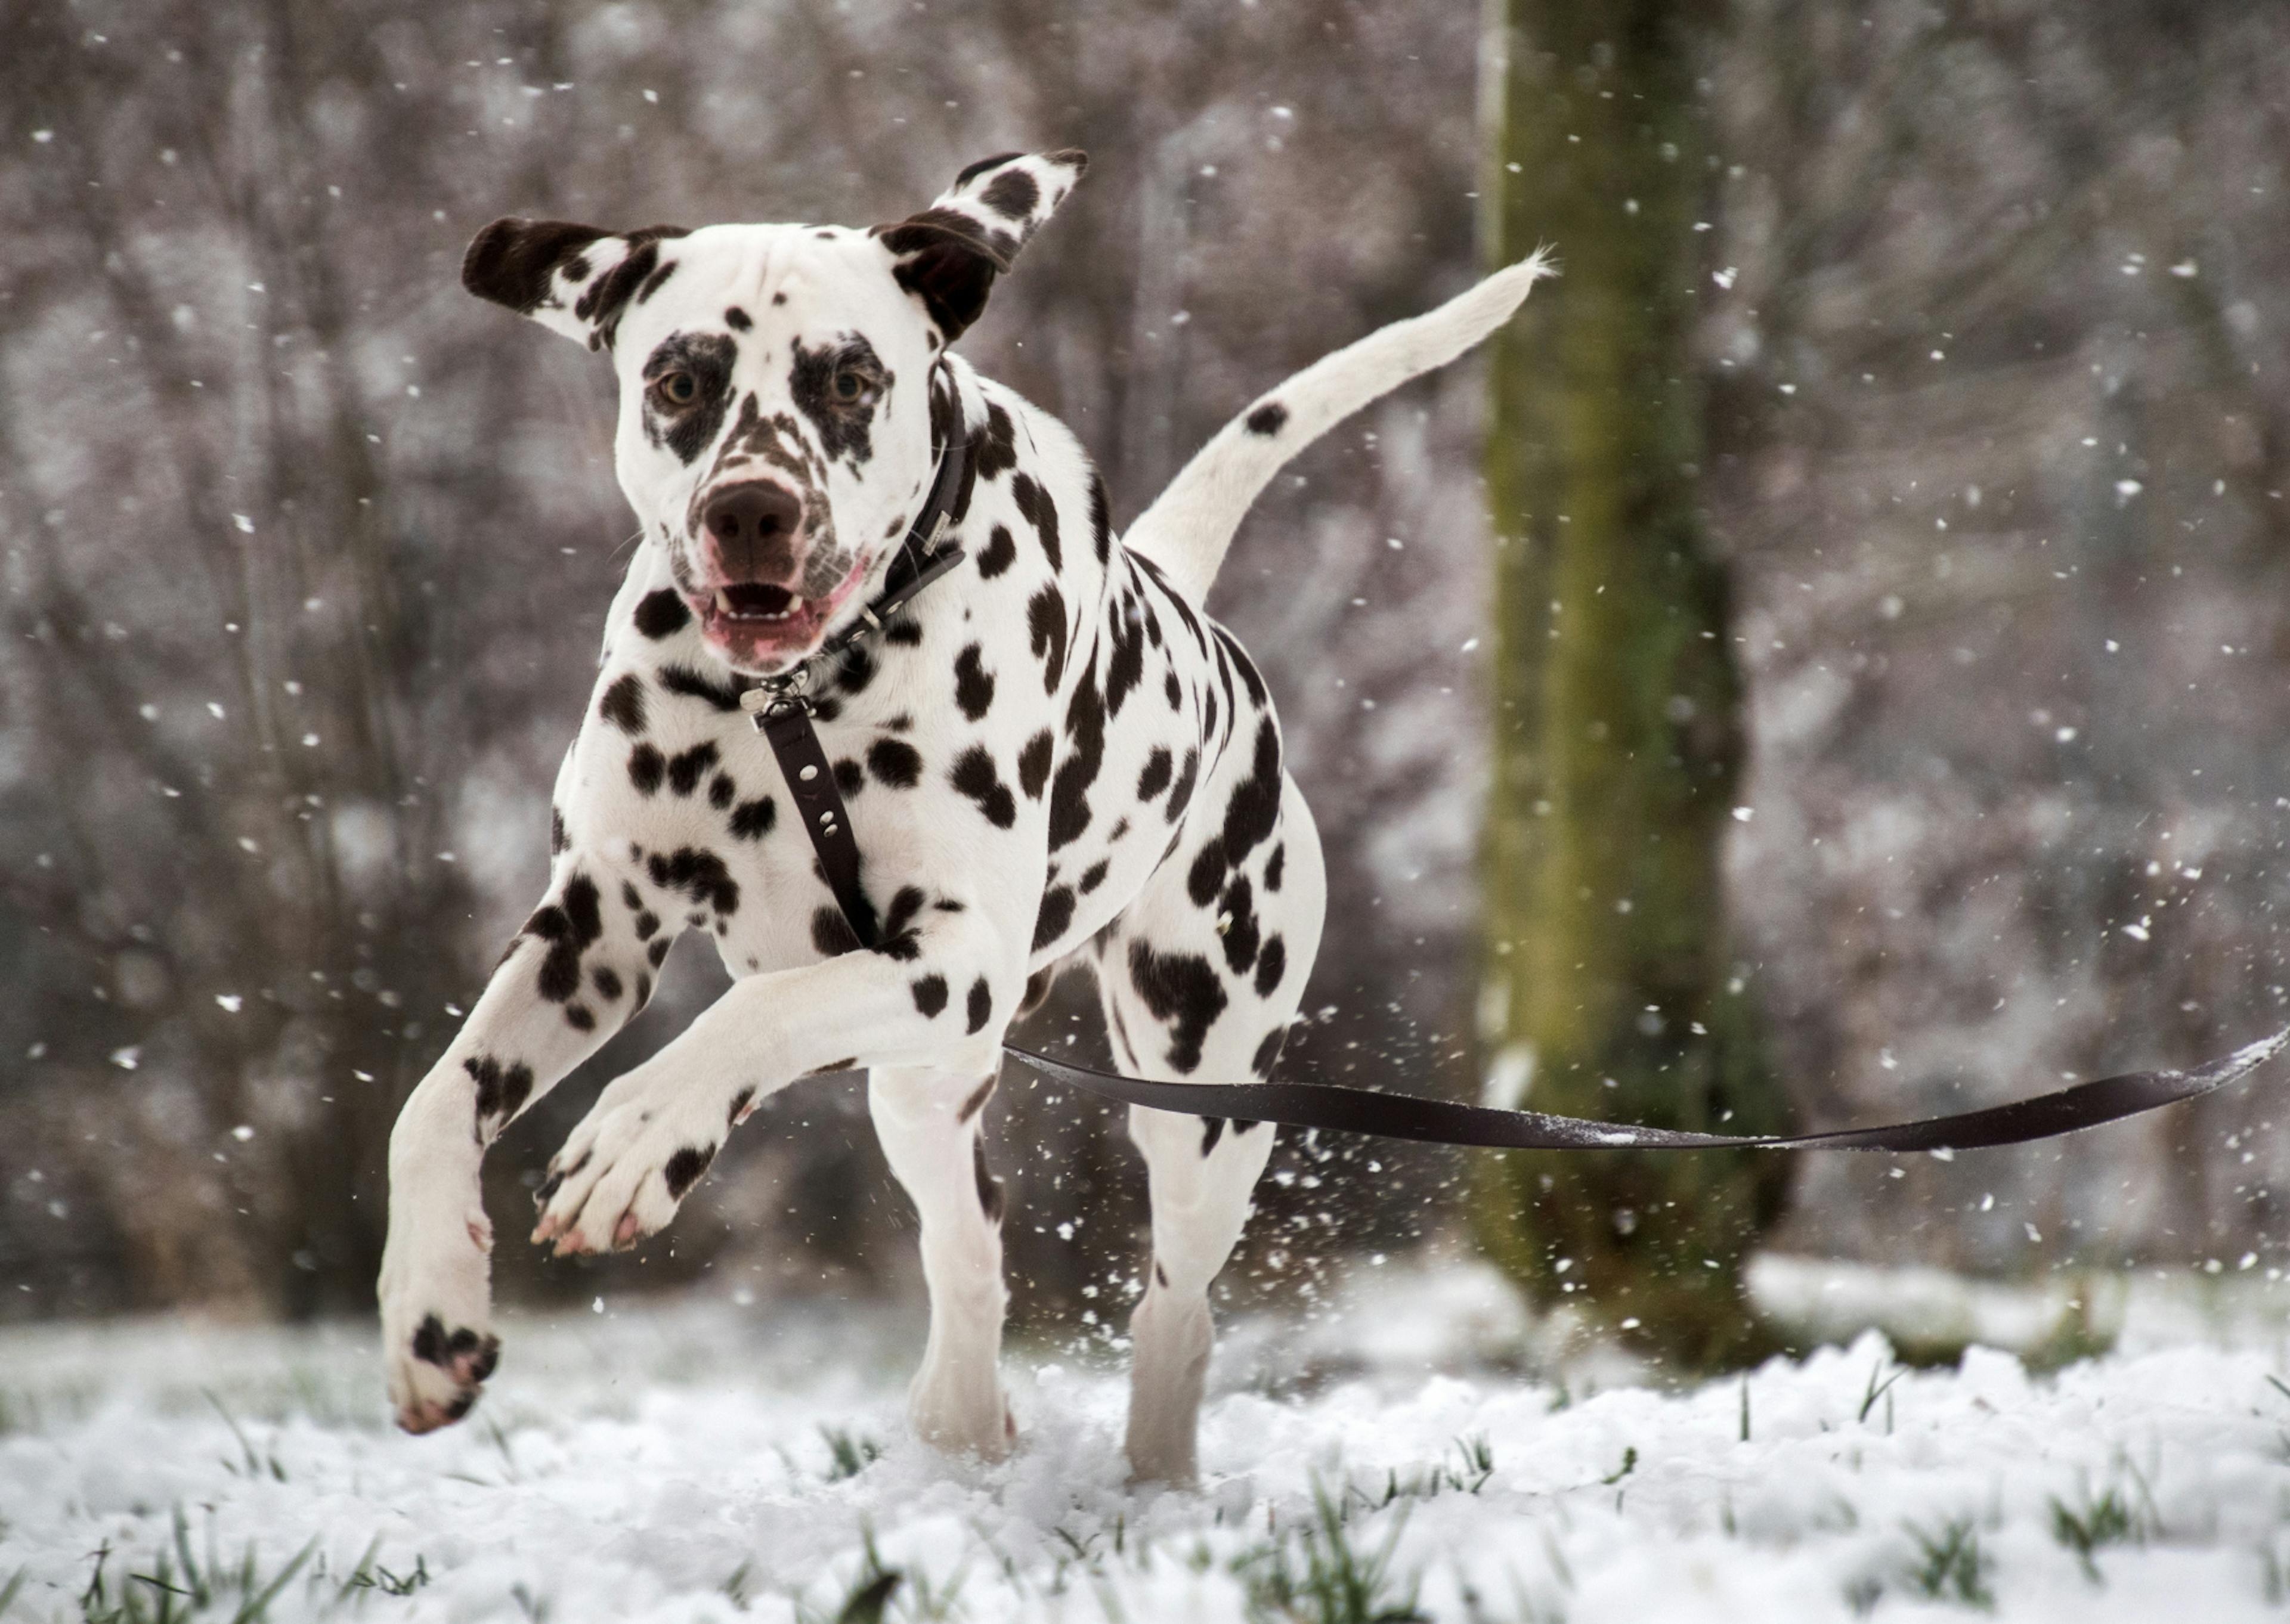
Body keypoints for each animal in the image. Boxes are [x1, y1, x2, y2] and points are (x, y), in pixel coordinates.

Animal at [380, 152, 1557, 1484]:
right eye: (680, 381)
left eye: (848, 379)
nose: (750, 511)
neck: (793, 699)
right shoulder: (596, 934)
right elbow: (433, 1105)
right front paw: (430, 1312)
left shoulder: (953, 958)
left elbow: (748, 1013)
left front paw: (640, 1130)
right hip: (925, 1085)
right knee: (968, 1239)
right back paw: (962, 1415)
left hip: (1198, 1093)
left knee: (1177, 1305)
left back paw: (1152, 1474)